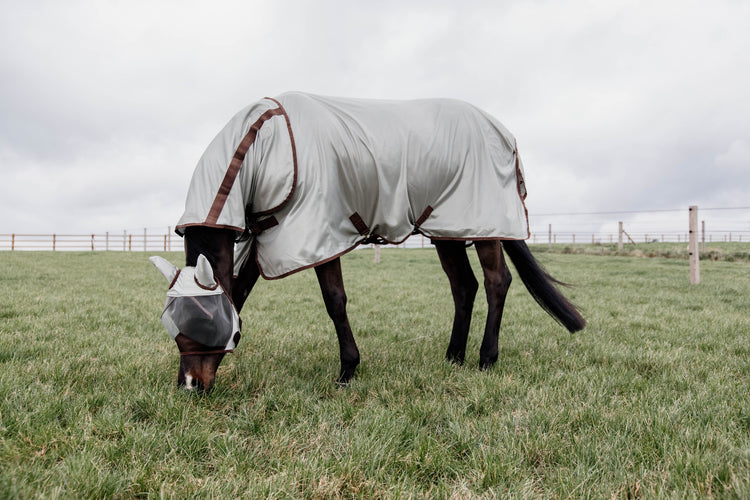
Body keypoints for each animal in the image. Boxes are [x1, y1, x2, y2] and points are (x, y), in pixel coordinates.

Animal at [151, 94, 588, 390]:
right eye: (172, 321)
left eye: (206, 321)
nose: (190, 386)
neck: (270, 145)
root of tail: (502, 132)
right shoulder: (267, 238)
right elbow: (238, 294)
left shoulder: (318, 232)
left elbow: (335, 302)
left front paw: (348, 370)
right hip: (446, 230)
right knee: (464, 286)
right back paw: (453, 358)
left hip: (484, 227)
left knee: (498, 282)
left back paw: (485, 359)